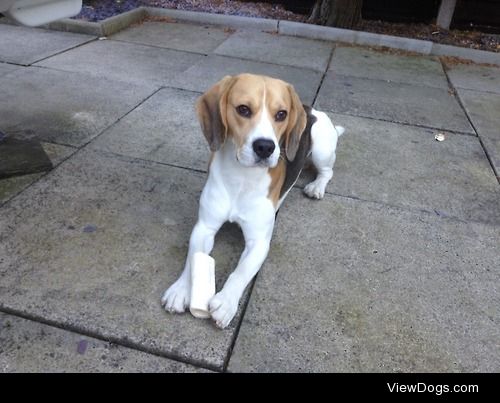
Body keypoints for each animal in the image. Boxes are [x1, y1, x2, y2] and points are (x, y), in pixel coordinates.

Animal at [160, 74, 344, 330]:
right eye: (243, 109)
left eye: (281, 114)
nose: (265, 147)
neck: (242, 178)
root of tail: (313, 111)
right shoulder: (204, 226)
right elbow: (193, 257)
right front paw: (180, 290)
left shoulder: (259, 242)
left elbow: (241, 271)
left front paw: (226, 302)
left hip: (322, 150)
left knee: (327, 172)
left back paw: (316, 187)